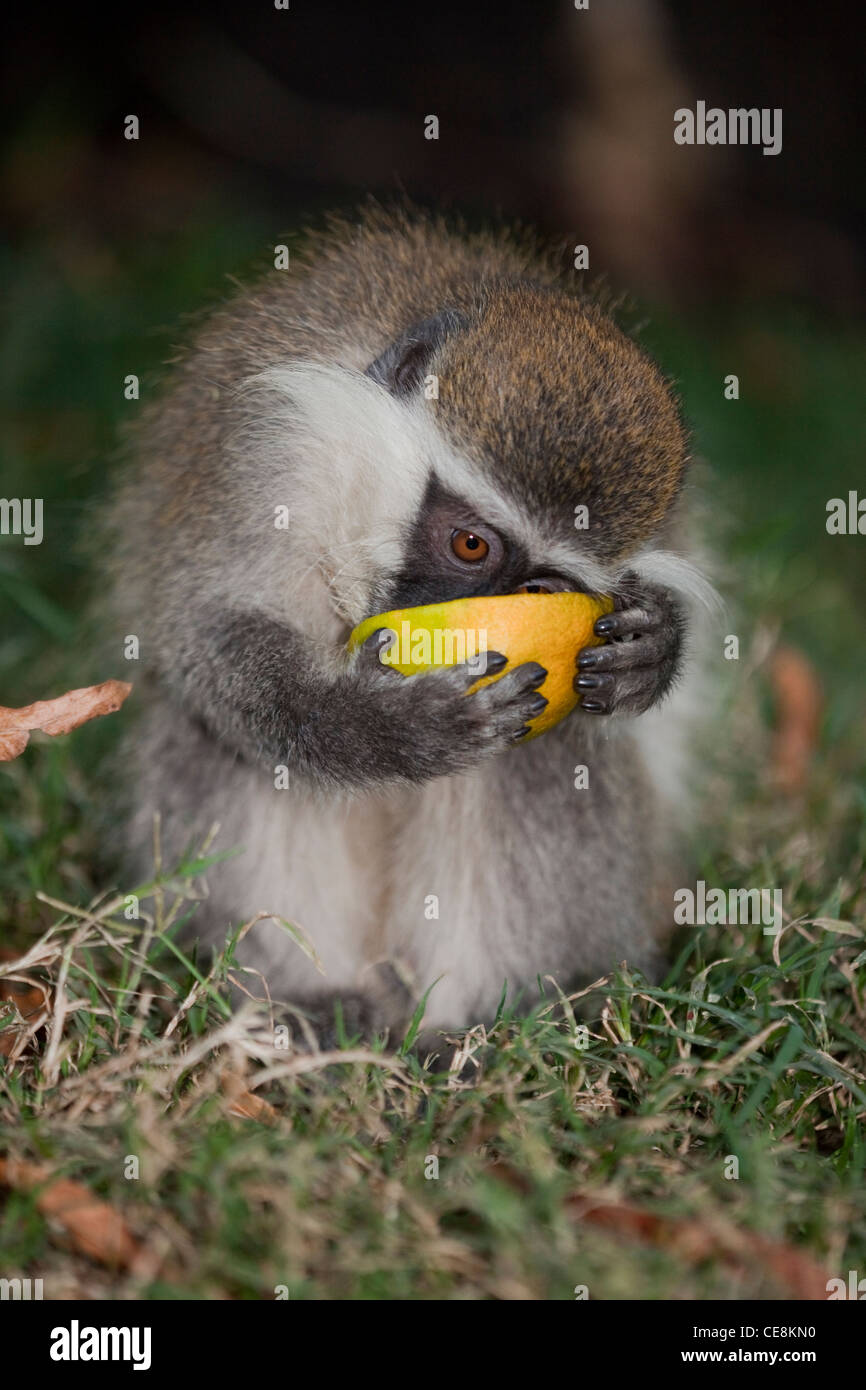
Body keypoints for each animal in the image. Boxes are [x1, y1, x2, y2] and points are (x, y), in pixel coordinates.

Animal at [104, 205, 715, 1047]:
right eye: (470, 545)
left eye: (542, 588)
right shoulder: (272, 458)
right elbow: (210, 637)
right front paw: (388, 731)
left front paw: (651, 654)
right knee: (219, 745)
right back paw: (305, 1004)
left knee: (548, 755)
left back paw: (479, 1030)